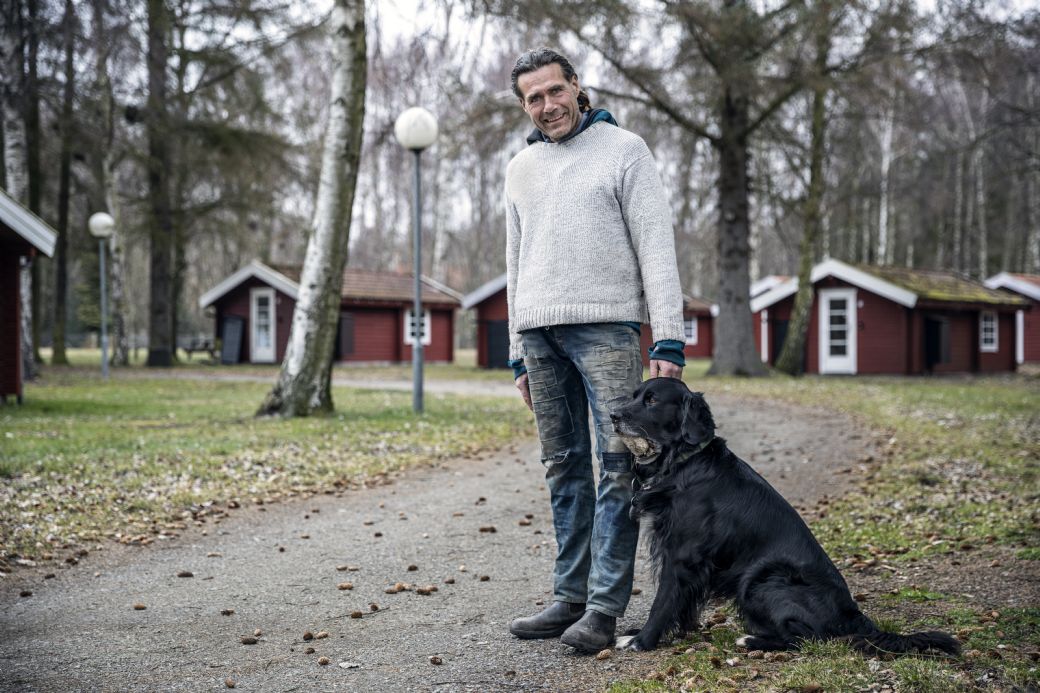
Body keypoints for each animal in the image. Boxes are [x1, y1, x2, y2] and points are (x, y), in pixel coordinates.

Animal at [609, 378, 960, 656]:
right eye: (634, 395)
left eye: (652, 400)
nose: (613, 416)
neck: (683, 462)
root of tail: (852, 614)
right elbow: (680, 603)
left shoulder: (683, 555)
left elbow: (663, 601)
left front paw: (642, 641)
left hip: (762, 580)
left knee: (807, 638)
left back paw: (751, 641)